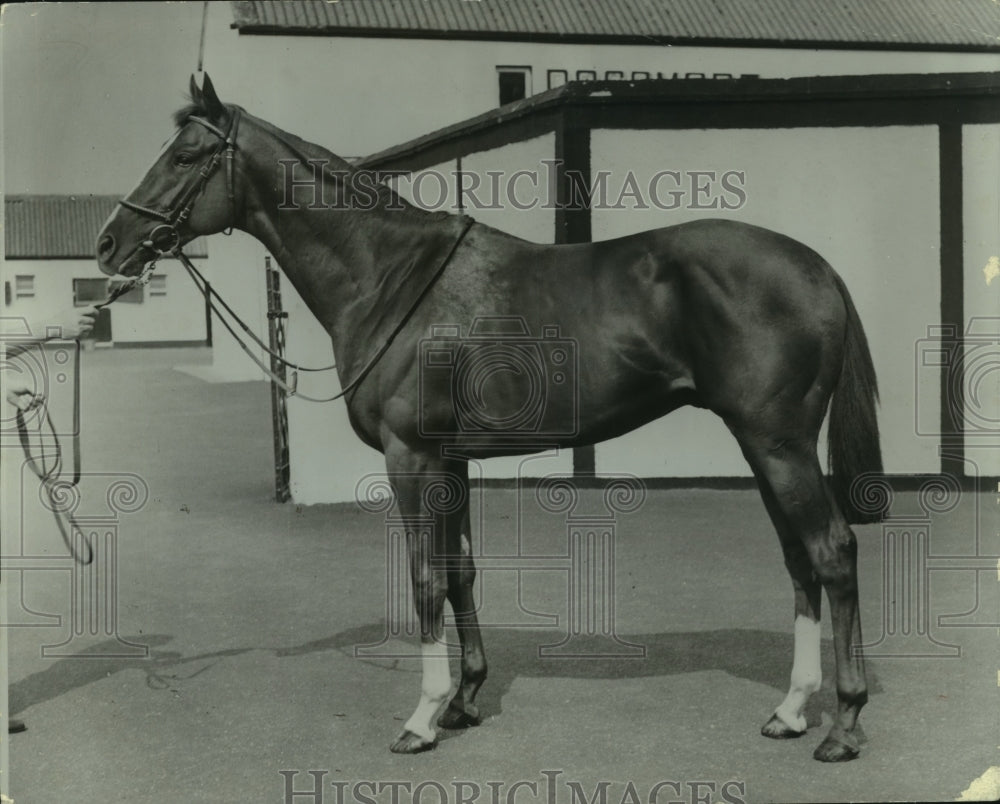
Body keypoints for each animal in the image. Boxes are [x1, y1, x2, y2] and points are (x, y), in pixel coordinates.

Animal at [95, 78, 884, 764]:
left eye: (185, 156)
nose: (109, 243)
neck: (389, 277)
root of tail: (817, 267)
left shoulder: (410, 457)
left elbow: (423, 578)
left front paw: (421, 719)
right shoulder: (451, 460)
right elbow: (460, 571)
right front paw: (465, 699)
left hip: (778, 444)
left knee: (833, 551)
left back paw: (842, 725)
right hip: (762, 446)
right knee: (799, 559)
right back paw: (790, 711)